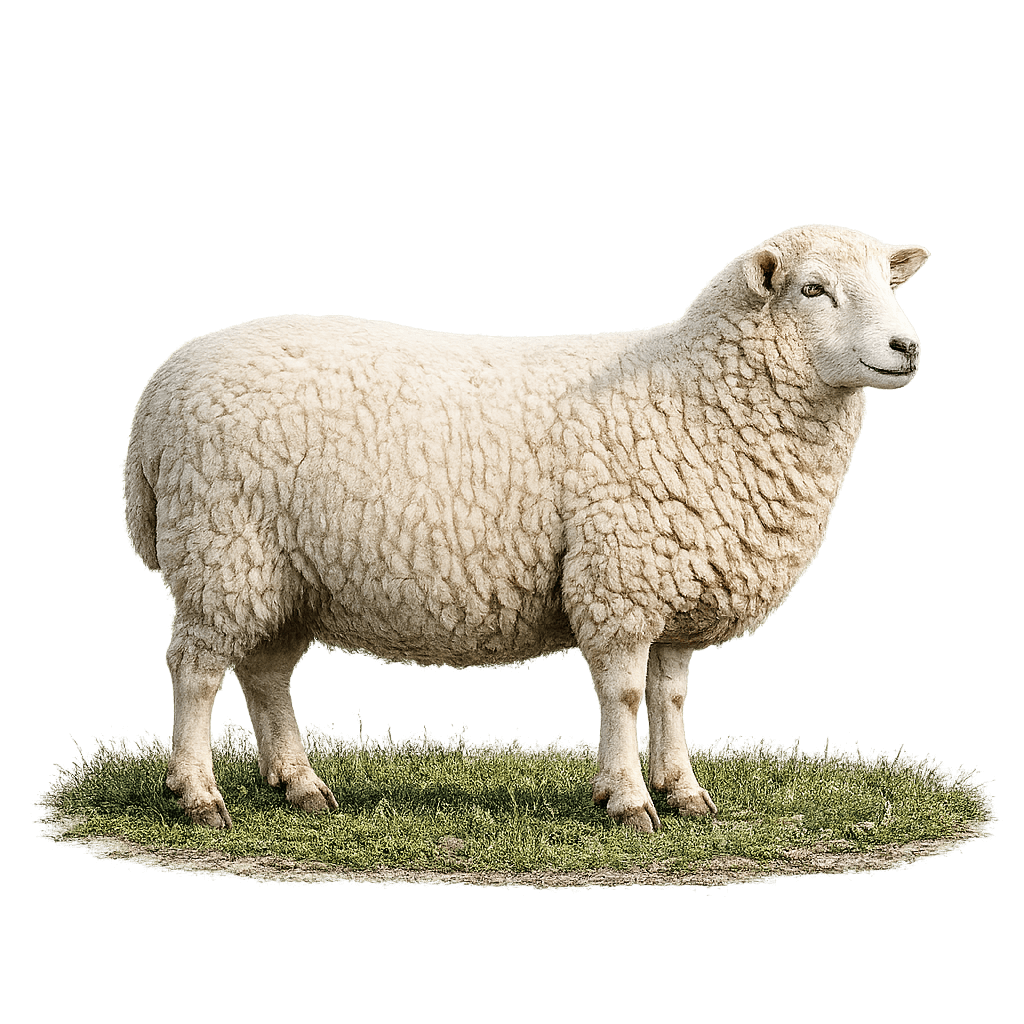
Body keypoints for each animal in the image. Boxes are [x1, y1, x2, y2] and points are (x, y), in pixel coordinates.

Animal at [123, 223, 930, 833]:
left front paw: (684, 792)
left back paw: (299, 785)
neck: (689, 390)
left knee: (264, 672)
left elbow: (671, 698)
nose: (907, 348)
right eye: (813, 289)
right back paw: (197, 795)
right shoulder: (619, 579)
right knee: (196, 670)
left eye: (891, 286)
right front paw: (628, 801)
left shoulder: (676, 583)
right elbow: (624, 696)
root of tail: (157, 399)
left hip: (282, 572)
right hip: (221, 546)